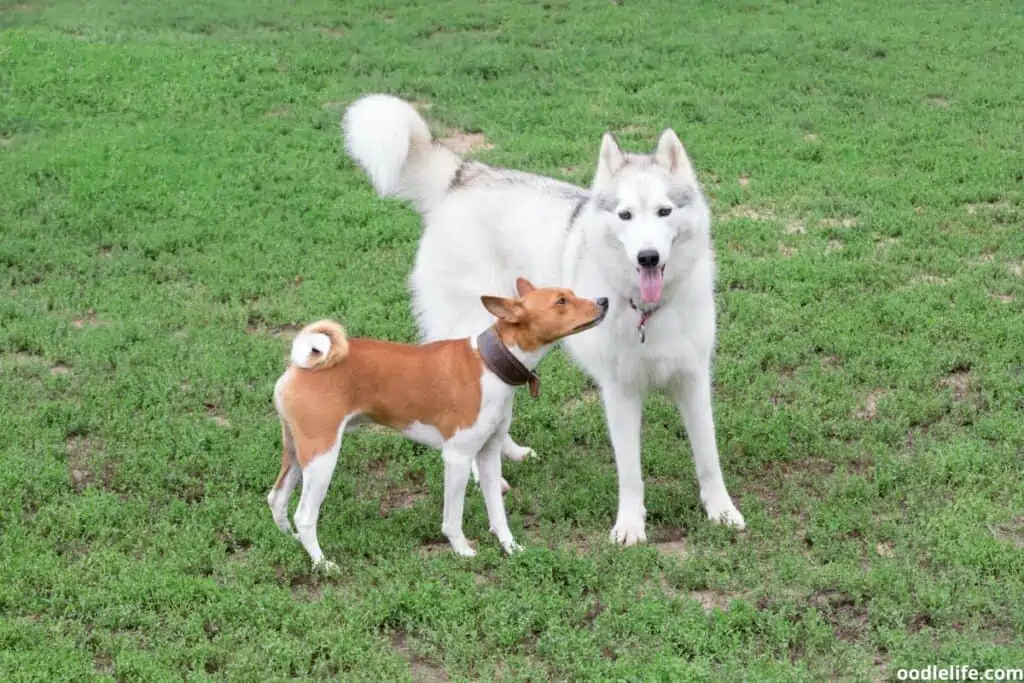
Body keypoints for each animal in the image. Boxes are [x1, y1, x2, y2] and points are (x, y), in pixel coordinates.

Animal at [270, 278, 606, 573]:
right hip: (322, 457)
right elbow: (453, 517)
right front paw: (462, 550)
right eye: (560, 301)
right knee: (304, 515)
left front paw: (510, 547)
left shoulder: (488, 454)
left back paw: (290, 542)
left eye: (571, 293)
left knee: (276, 499)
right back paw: (322, 563)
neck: (489, 364)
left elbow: (498, 513)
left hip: (298, 452)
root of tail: (299, 366)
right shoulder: (457, 458)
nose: (604, 300)